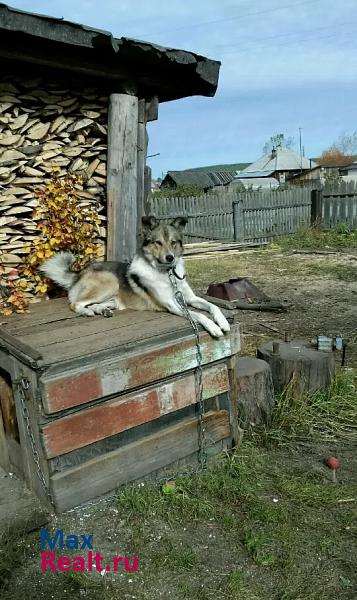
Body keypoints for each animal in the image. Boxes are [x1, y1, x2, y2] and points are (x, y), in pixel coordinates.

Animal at [38, 216, 228, 338]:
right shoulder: (172, 305)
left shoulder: (190, 298)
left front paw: (223, 322)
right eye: (158, 243)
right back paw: (87, 312)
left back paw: (101, 310)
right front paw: (214, 327)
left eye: (173, 242)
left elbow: (212, 306)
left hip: (112, 298)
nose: (170, 258)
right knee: (75, 303)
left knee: (94, 303)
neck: (165, 274)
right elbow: (199, 315)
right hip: (110, 282)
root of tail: (80, 273)